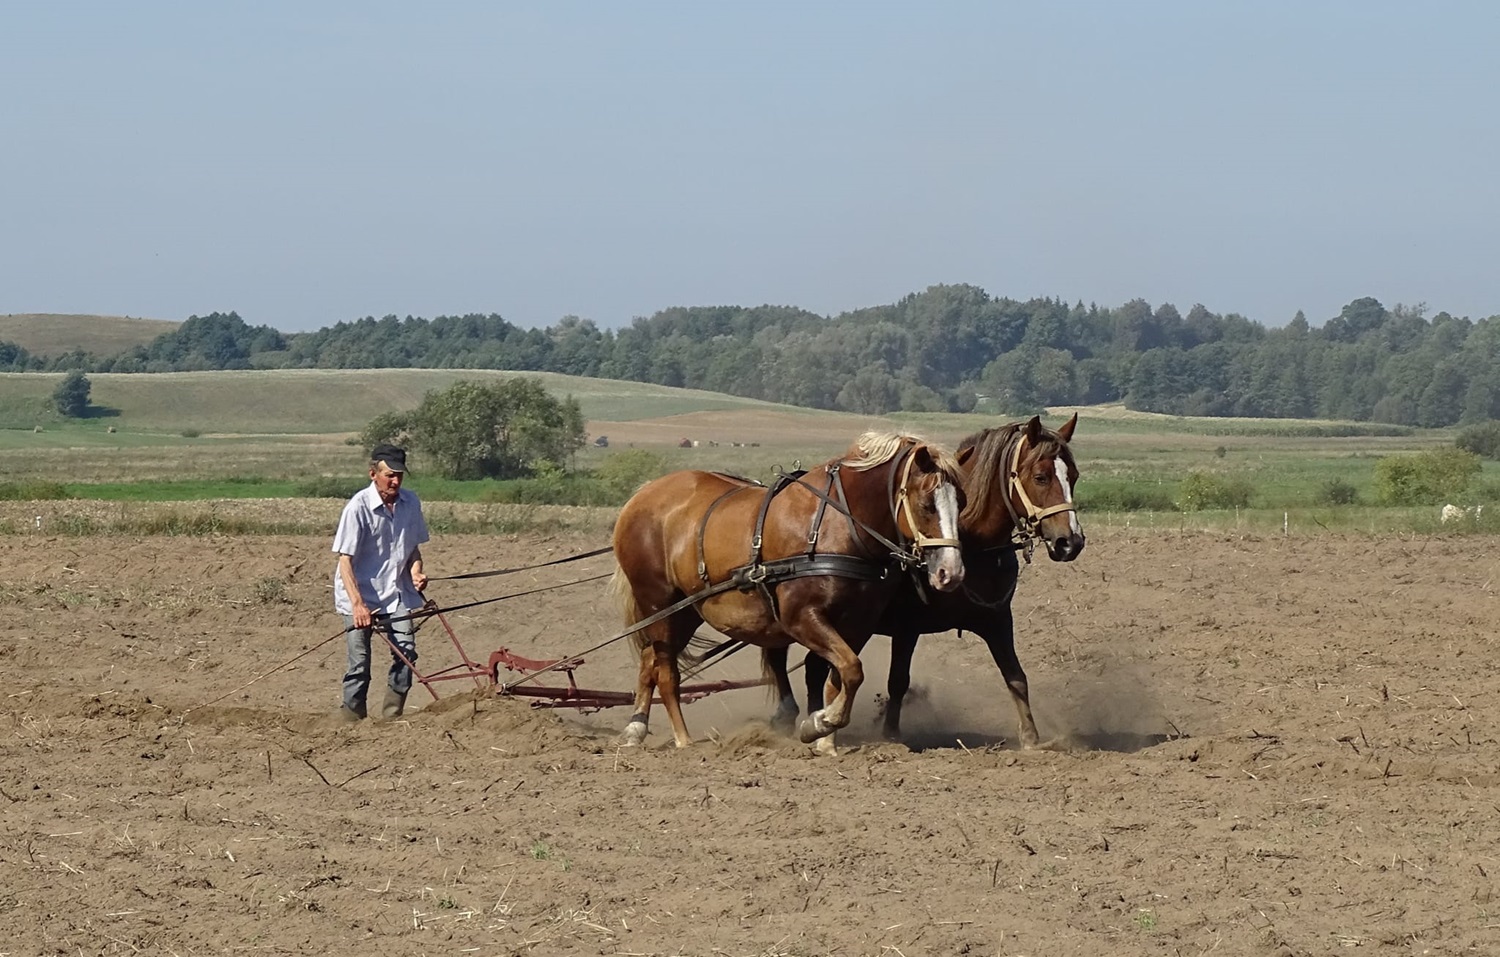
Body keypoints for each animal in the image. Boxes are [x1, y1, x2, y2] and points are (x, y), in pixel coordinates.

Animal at [606, 435, 960, 750]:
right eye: (927, 505)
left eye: (962, 504)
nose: (951, 572)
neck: (836, 526)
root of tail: (642, 494)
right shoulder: (801, 617)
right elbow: (851, 670)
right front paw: (820, 723)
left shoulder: (858, 624)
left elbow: (840, 676)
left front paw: (824, 738)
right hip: (657, 601)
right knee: (666, 671)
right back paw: (683, 739)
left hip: (686, 610)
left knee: (651, 658)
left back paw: (636, 728)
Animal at [780, 417, 1086, 753]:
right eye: (1041, 477)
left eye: (1073, 476)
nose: (1070, 542)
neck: (970, 542)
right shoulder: (907, 626)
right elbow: (898, 681)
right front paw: (891, 734)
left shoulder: (996, 620)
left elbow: (1015, 676)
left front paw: (1031, 739)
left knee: (814, 667)